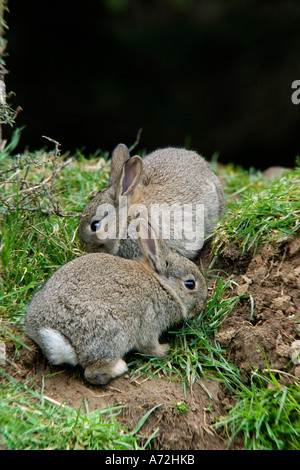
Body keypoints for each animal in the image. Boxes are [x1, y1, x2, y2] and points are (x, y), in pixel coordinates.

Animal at [25, 218, 207, 384]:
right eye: (190, 284)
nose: (202, 306)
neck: (162, 285)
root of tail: (56, 337)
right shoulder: (149, 324)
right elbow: (149, 346)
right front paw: (164, 350)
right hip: (114, 332)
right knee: (93, 373)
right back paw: (120, 367)